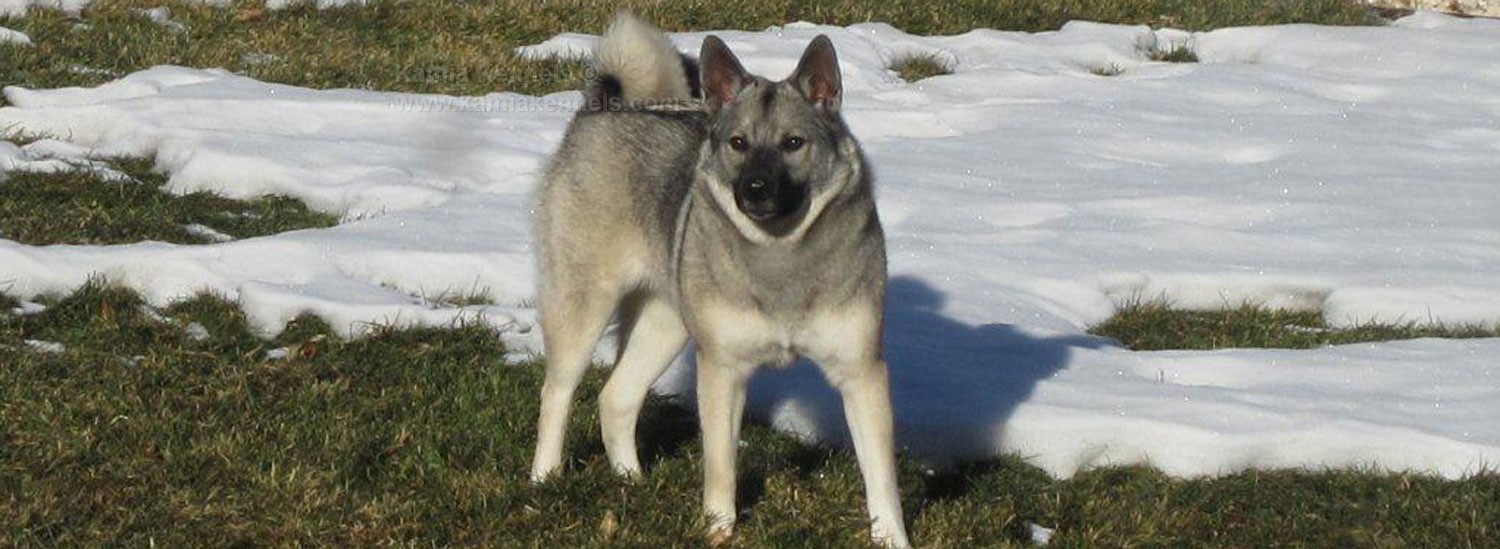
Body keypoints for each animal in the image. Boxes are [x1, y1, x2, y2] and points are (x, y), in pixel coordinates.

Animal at [534, 15, 906, 546]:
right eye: (738, 143)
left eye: (794, 143)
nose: (754, 189)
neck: (779, 256)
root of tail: (610, 104)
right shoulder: (723, 369)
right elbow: (721, 465)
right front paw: (718, 530)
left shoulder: (861, 372)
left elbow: (881, 477)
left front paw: (892, 538)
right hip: (583, 306)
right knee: (558, 394)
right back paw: (544, 480)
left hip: (664, 322)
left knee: (615, 398)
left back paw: (631, 481)